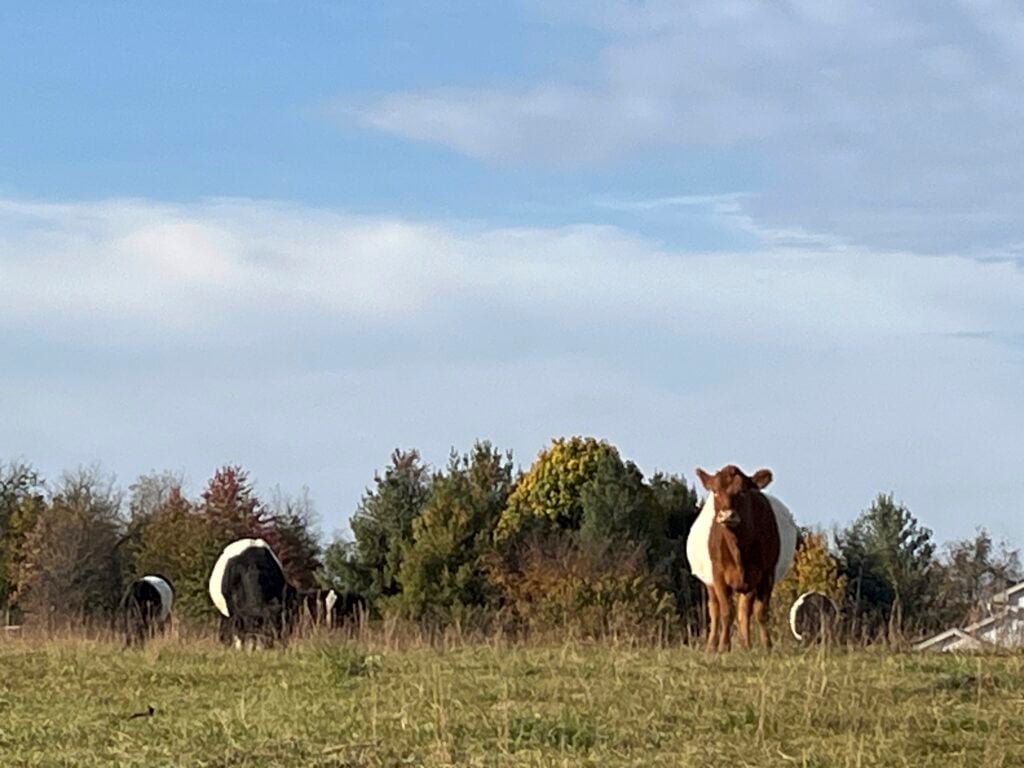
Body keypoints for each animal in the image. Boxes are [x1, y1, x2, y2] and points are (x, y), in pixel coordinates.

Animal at [686, 465, 797, 652]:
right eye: (715, 491)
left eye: (743, 491)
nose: (727, 515)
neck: (738, 549)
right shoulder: (718, 575)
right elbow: (726, 612)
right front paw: (724, 646)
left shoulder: (766, 574)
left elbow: (760, 611)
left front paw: (767, 645)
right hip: (709, 582)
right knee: (715, 610)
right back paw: (712, 646)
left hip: (750, 583)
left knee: (744, 610)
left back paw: (746, 645)